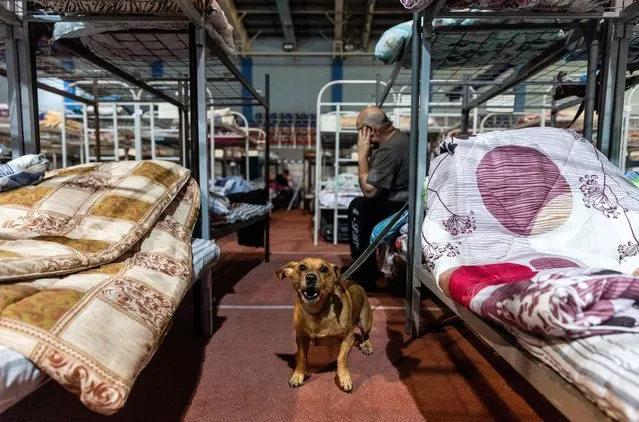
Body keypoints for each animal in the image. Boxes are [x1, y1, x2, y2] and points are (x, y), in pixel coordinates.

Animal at [276, 258, 376, 392]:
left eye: (324, 269)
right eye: (302, 267)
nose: (311, 278)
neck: (317, 311)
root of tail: (355, 282)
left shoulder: (348, 337)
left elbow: (341, 358)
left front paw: (344, 377)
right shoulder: (301, 337)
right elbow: (302, 357)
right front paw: (298, 376)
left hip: (364, 322)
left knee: (365, 335)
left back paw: (366, 346)